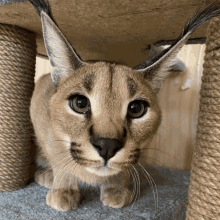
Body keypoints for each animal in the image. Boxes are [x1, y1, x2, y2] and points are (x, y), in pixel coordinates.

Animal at [28, 0, 220, 213]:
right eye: (80, 104)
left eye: (136, 109)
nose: (107, 145)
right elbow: (57, 155)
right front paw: (63, 189)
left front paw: (117, 188)